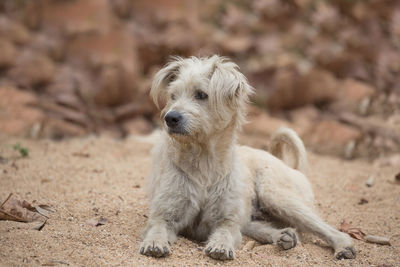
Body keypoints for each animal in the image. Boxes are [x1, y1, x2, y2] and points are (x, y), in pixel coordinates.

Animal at [138, 55, 356, 260]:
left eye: (201, 94)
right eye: (173, 96)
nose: (170, 118)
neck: (203, 160)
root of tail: (286, 164)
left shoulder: (227, 220)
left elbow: (225, 232)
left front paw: (221, 246)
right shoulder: (164, 214)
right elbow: (157, 228)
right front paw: (154, 243)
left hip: (278, 197)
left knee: (329, 229)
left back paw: (343, 246)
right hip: (255, 215)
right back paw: (284, 236)